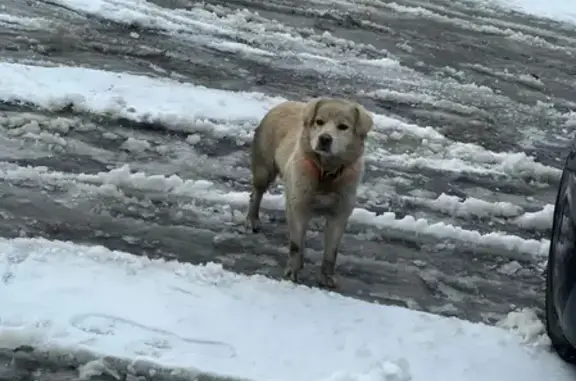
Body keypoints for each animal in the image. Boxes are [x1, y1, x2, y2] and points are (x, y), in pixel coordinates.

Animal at [244, 96, 374, 286]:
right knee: (256, 193)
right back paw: (252, 219)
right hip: (264, 168)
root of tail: (283, 103)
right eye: (319, 122)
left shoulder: (340, 214)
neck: (326, 173)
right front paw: (293, 271)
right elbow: (296, 245)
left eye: (343, 126)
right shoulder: (298, 206)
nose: (325, 138)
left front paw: (327, 277)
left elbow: (331, 251)